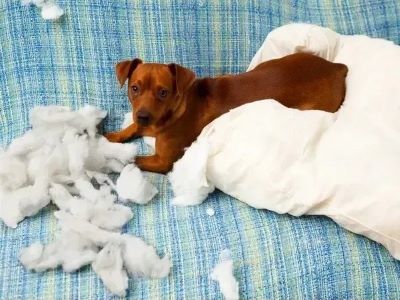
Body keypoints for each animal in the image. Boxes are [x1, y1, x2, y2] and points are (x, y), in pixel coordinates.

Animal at [105, 52, 346, 172]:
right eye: (134, 88)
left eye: (163, 92)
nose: (143, 116)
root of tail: (336, 68)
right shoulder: (145, 125)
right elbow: (130, 128)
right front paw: (111, 136)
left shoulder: (163, 161)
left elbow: (133, 160)